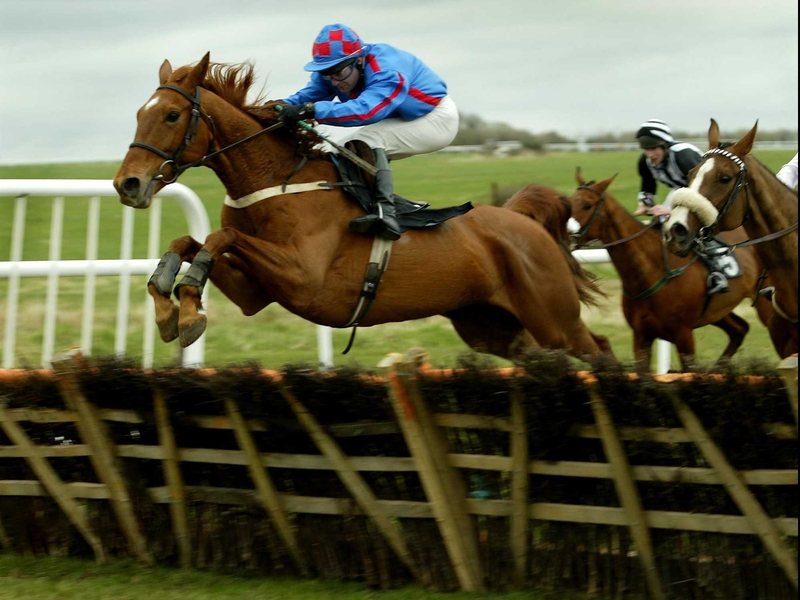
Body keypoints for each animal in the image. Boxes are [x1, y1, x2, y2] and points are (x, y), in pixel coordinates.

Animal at [113, 53, 611, 363]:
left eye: (172, 115)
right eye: (138, 114)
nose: (128, 184)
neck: (278, 182)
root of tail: (526, 225)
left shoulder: (304, 278)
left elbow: (221, 236)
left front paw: (186, 303)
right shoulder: (257, 292)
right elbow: (192, 240)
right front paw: (171, 305)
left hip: (555, 319)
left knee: (600, 349)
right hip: (493, 327)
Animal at [566, 169, 772, 371]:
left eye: (587, 205)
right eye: (568, 202)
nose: (565, 232)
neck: (650, 272)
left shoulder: (683, 335)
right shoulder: (641, 336)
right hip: (718, 312)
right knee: (740, 329)